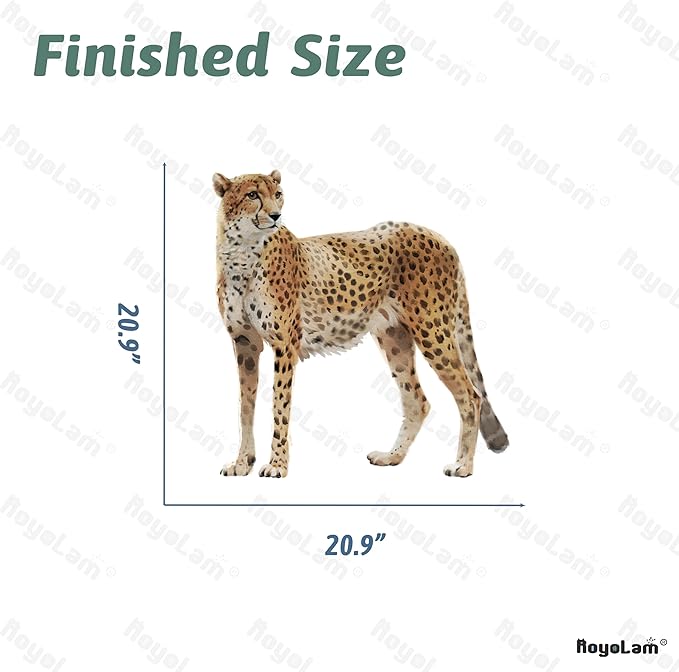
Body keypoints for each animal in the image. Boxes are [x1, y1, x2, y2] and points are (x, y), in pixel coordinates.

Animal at [214, 169, 508, 478]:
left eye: (278, 194)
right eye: (252, 195)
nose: (275, 215)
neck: (242, 253)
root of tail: (437, 235)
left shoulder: (285, 344)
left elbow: (279, 406)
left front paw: (277, 465)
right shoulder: (245, 343)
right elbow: (245, 406)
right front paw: (242, 463)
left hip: (433, 330)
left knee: (471, 395)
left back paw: (463, 465)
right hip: (394, 337)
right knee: (418, 400)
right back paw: (392, 456)